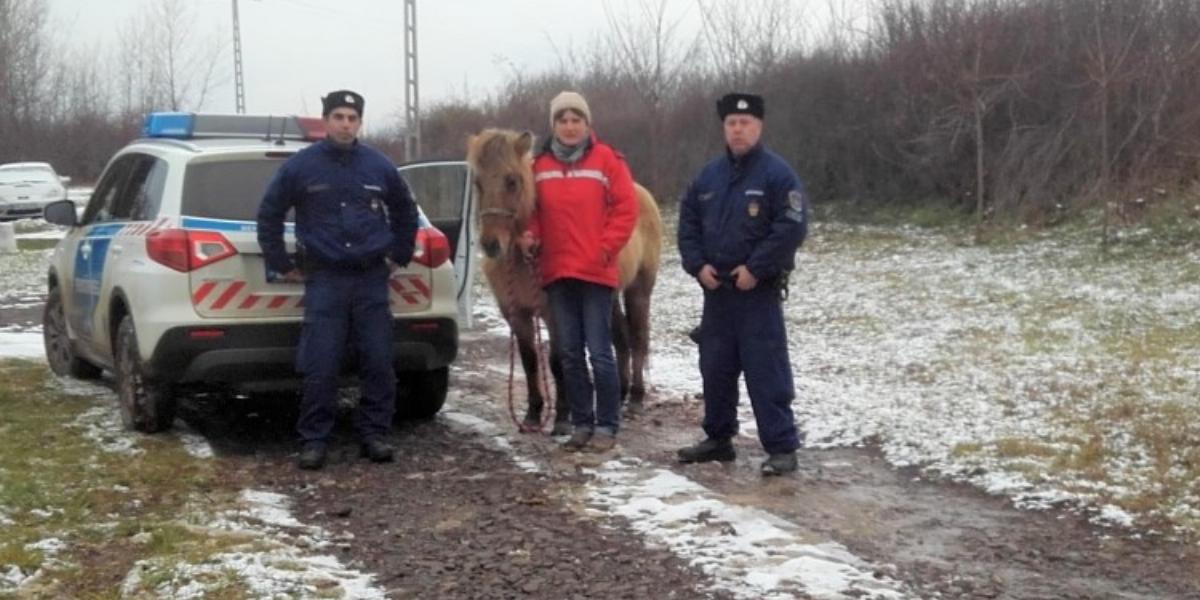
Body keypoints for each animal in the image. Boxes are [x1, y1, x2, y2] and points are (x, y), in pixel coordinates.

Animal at [463, 129, 662, 434]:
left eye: (512, 180)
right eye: (478, 183)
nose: (491, 245)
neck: (524, 258)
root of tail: (642, 195)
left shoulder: (554, 313)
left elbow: (557, 361)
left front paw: (562, 418)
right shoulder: (515, 314)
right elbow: (530, 360)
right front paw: (533, 414)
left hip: (638, 290)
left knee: (638, 338)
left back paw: (637, 398)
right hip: (609, 298)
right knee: (621, 339)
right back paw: (619, 395)